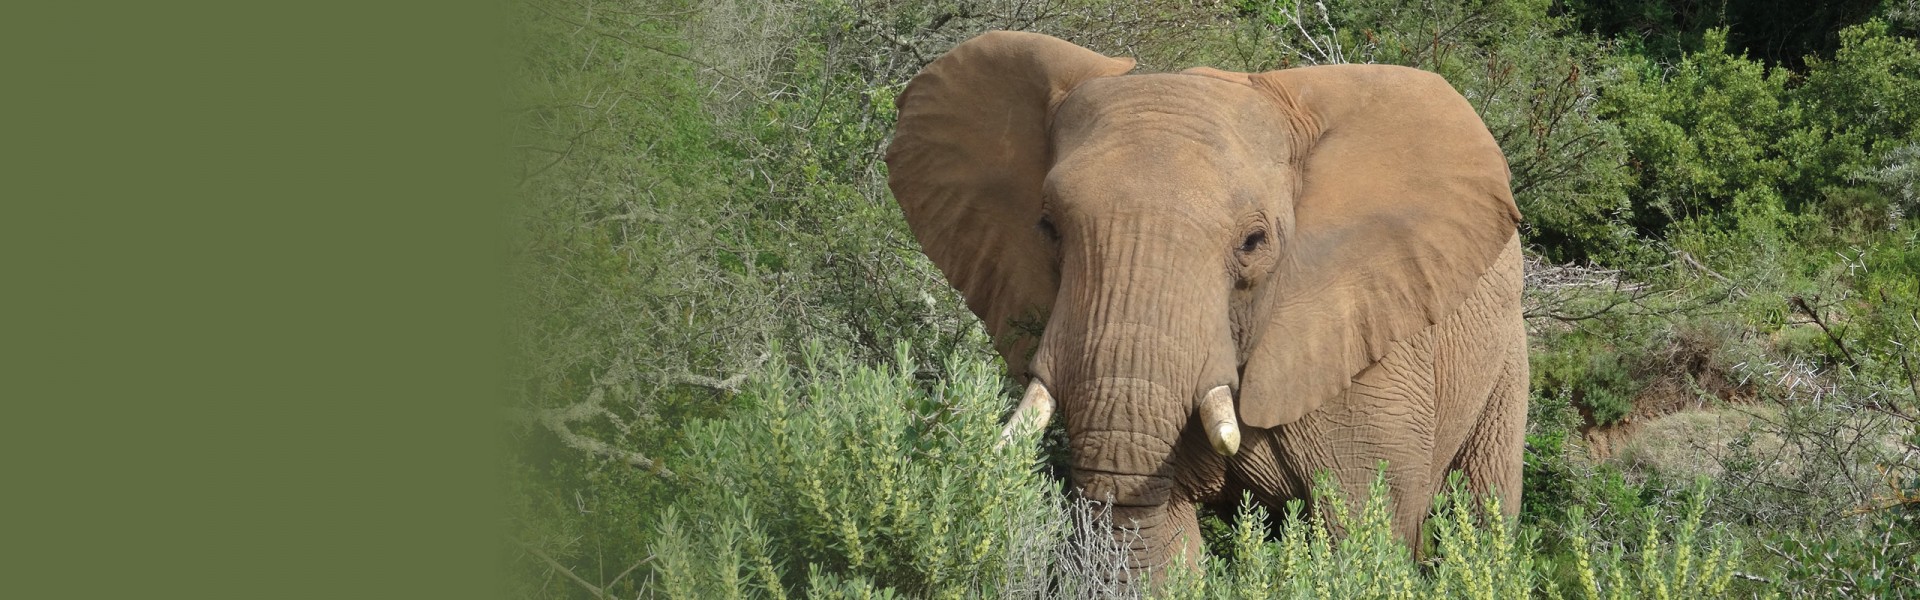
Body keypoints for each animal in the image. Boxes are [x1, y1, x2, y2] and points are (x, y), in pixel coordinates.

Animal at [883, 31, 1528, 576]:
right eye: (1047, 228)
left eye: (1254, 242)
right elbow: (1162, 539)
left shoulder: (1374, 360)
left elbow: (1365, 527)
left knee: (1484, 508)